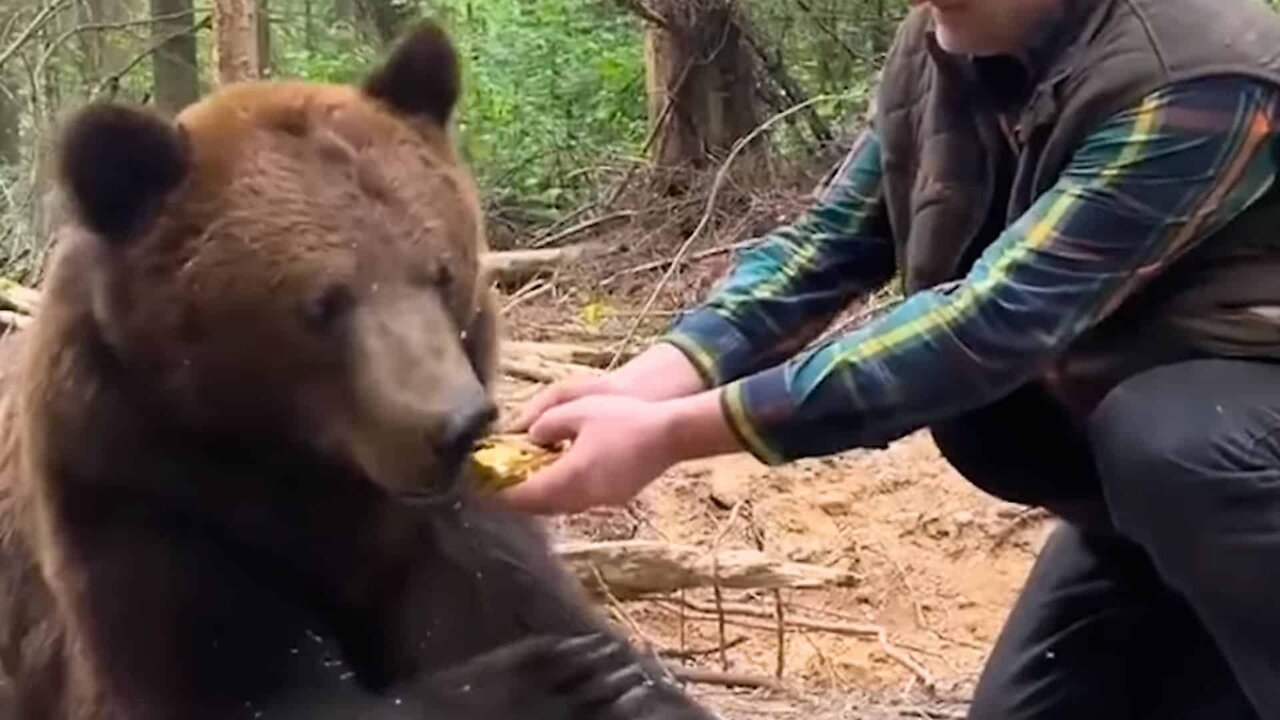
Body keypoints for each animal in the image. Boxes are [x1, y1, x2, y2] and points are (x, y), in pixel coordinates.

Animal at [0, 19, 721, 717]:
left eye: (441, 273)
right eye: (322, 304)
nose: (457, 424)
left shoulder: (432, 529)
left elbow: (518, 609)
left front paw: (613, 679)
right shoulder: (142, 508)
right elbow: (243, 687)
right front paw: (557, 682)